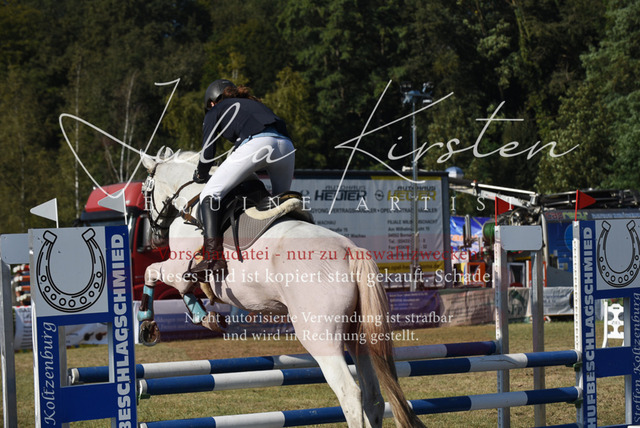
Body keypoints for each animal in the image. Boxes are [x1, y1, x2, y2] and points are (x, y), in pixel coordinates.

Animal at [138, 148, 425, 428]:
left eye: (145, 192)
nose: (155, 238)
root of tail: (350, 250)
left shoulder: (178, 270)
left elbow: (151, 271)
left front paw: (146, 323)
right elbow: (181, 289)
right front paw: (204, 316)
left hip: (319, 336)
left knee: (349, 393)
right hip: (359, 335)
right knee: (373, 398)